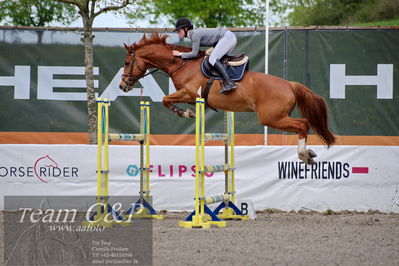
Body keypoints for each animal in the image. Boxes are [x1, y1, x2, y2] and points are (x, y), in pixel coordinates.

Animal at [119, 33, 334, 164]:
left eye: (127, 62)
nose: (122, 85)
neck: (181, 64)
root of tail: (290, 84)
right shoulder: (191, 96)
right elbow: (168, 100)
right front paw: (187, 111)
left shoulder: (190, 93)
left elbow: (166, 100)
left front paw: (186, 113)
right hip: (277, 116)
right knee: (303, 124)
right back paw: (308, 154)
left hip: (272, 117)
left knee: (302, 124)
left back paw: (304, 154)